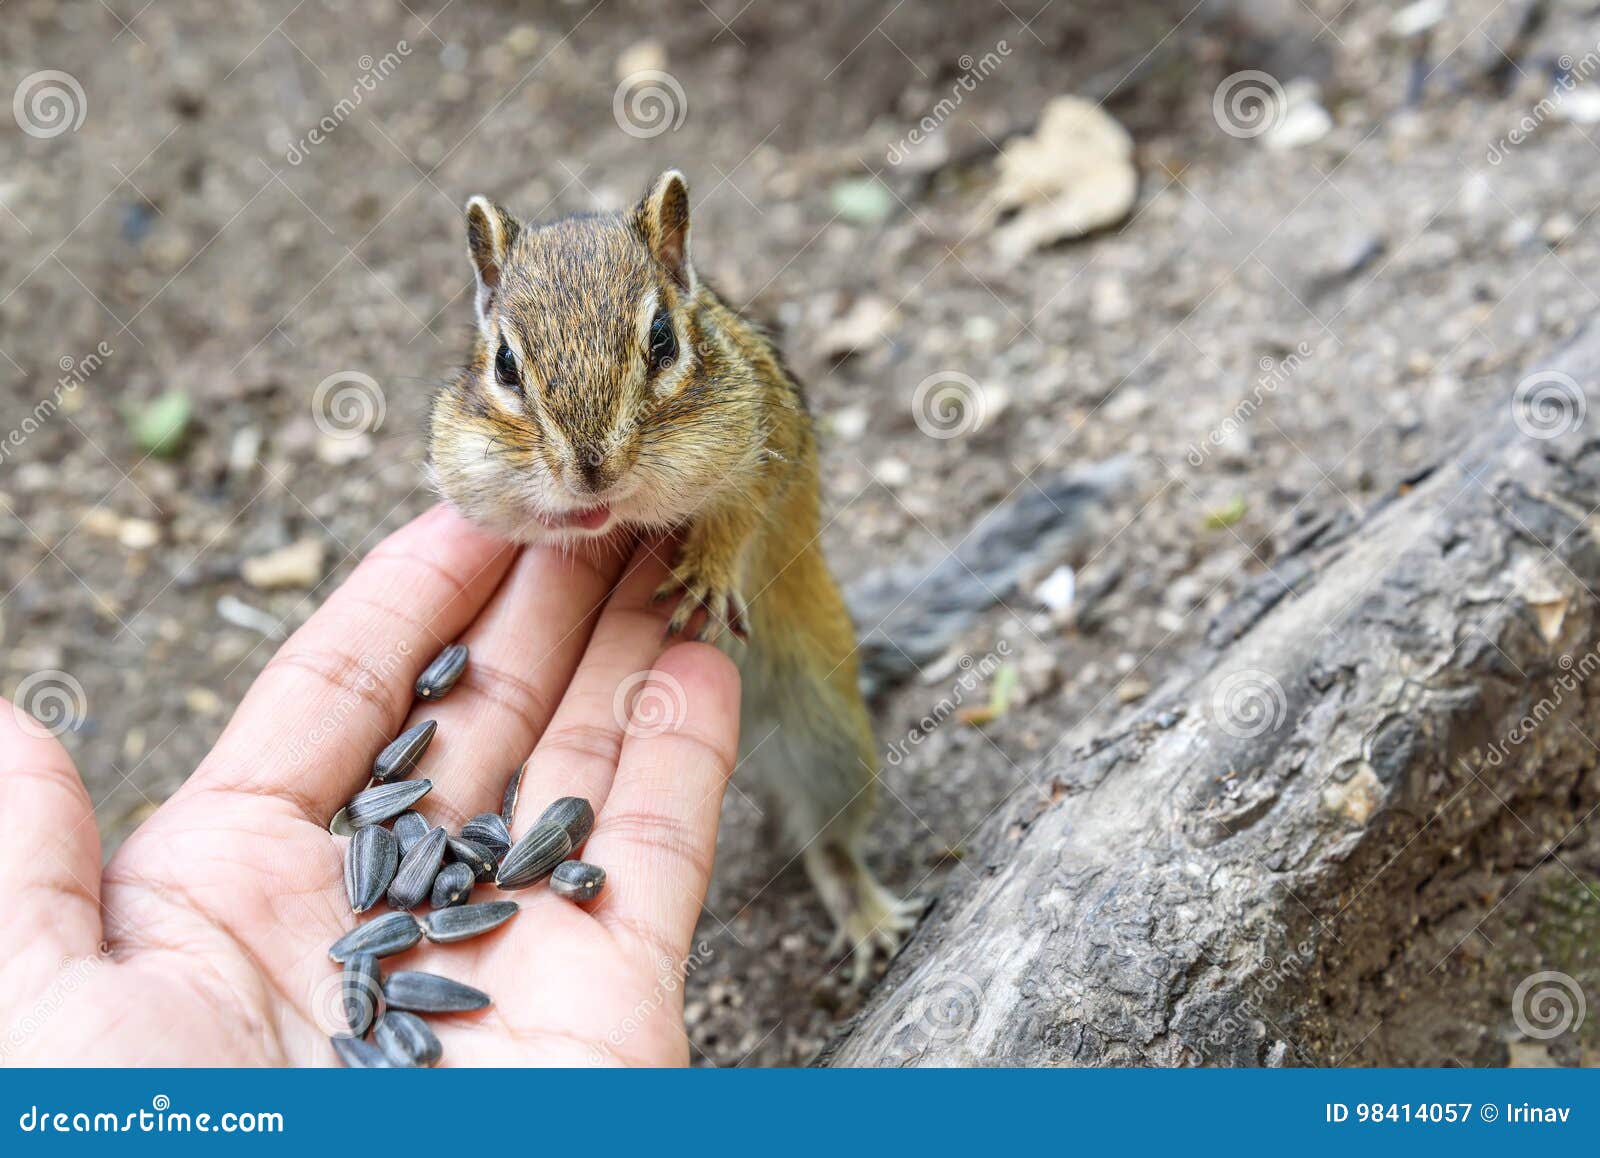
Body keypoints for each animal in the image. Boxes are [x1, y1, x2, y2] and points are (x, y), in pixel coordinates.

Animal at [428, 170, 921, 977]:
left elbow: (740, 514)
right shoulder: (471, 465)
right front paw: (572, 521)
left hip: (827, 729)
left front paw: (705, 575)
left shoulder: (764, 441)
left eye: (662, 340)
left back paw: (865, 911)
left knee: (829, 838)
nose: (591, 473)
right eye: (503, 364)